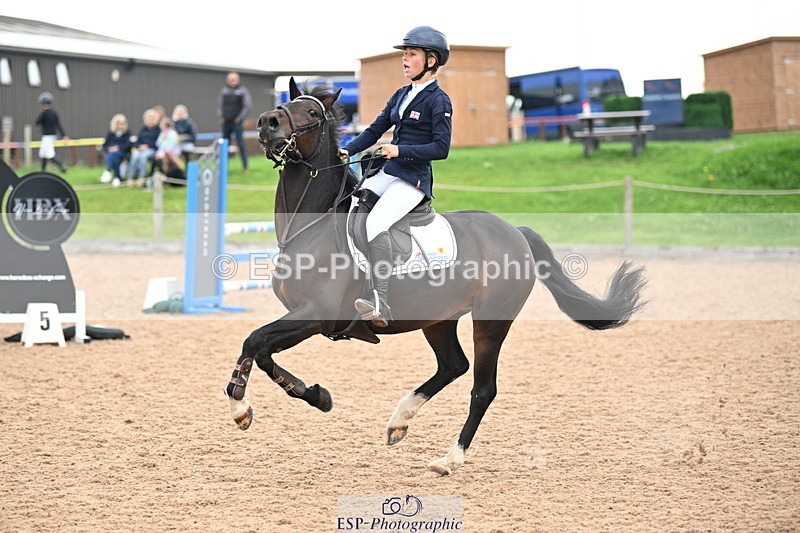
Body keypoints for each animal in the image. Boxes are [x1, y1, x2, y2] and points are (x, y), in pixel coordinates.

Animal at [224, 78, 647, 476]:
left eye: (312, 113)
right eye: (287, 103)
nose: (267, 122)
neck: (312, 225)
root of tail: (514, 231)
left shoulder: (317, 315)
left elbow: (254, 340)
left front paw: (246, 406)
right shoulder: (302, 316)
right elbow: (260, 349)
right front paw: (307, 395)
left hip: (490, 321)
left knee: (482, 388)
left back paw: (450, 458)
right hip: (438, 318)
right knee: (452, 366)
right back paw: (400, 421)